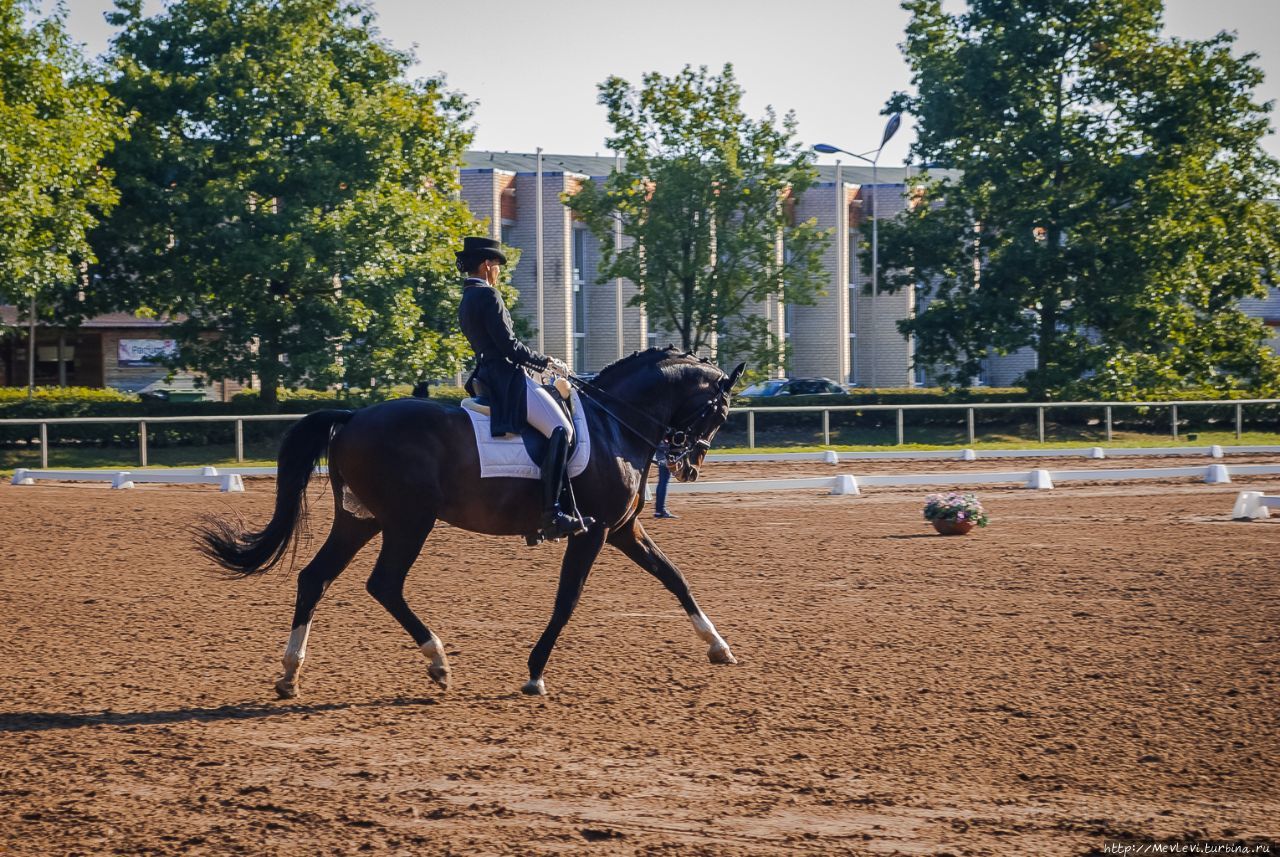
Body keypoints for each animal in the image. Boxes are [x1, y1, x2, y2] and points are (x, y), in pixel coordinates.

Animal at [194, 347, 747, 695]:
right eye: (719, 412)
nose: (688, 467)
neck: (616, 425)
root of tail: (352, 417)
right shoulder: (591, 532)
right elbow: (566, 601)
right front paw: (534, 674)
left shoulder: (623, 530)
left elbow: (675, 577)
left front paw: (718, 646)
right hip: (409, 521)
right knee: (384, 584)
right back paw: (437, 661)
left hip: (361, 520)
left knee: (316, 578)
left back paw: (291, 675)